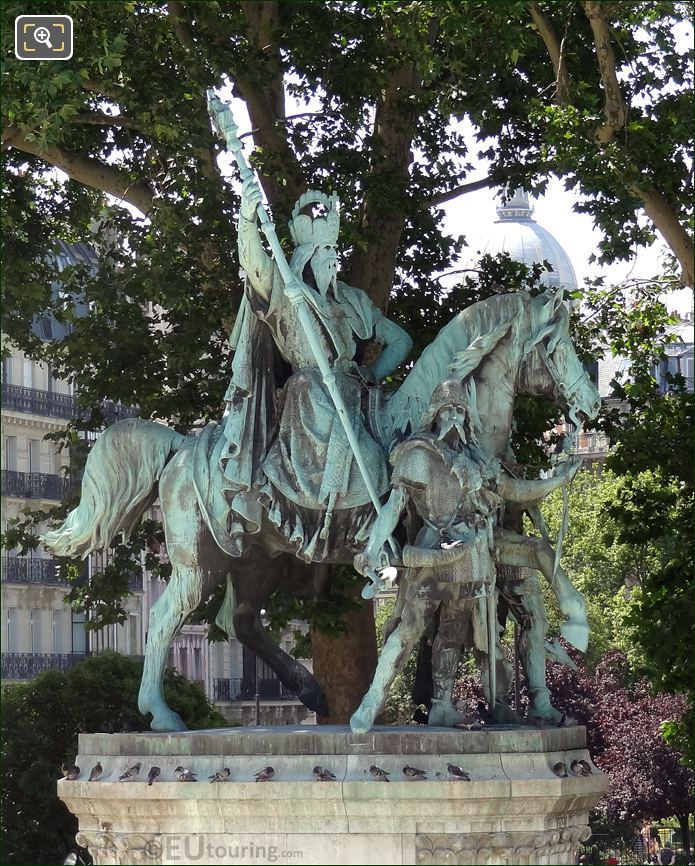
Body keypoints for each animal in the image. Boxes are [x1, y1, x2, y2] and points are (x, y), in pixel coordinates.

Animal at [43, 288, 600, 728]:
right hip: (200, 563)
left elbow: (534, 561)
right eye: (556, 346)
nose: (591, 405)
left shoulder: (475, 540)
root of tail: (182, 445)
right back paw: (161, 714)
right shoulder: (437, 541)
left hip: (257, 562)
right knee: (164, 620)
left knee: (240, 621)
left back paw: (308, 688)